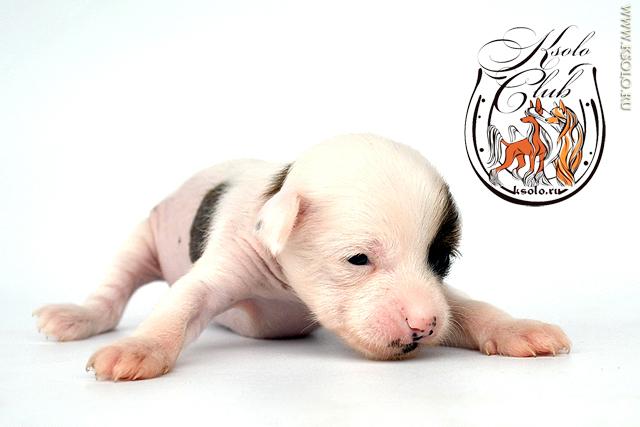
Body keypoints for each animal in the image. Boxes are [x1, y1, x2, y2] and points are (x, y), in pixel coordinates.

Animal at [34, 134, 571, 381]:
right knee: (114, 291)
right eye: (358, 259)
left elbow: (466, 306)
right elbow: (182, 304)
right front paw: (141, 348)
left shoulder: (438, 293)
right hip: (144, 235)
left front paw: (516, 329)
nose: (423, 326)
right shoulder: (230, 258)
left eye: (441, 261)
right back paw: (78, 316)